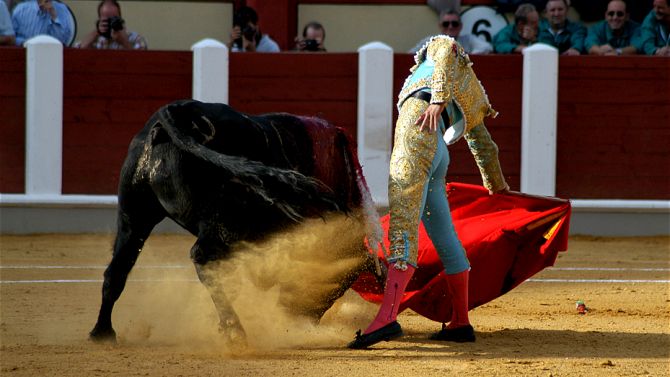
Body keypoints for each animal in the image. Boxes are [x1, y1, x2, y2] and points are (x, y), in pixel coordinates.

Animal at [90, 100, 380, 344]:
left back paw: (102, 333)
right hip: (222, 218)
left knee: (118, 268)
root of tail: (180, 111)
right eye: (340, 284)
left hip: (134, 214)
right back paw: (235, 331)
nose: (297, 320)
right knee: (203, 258)